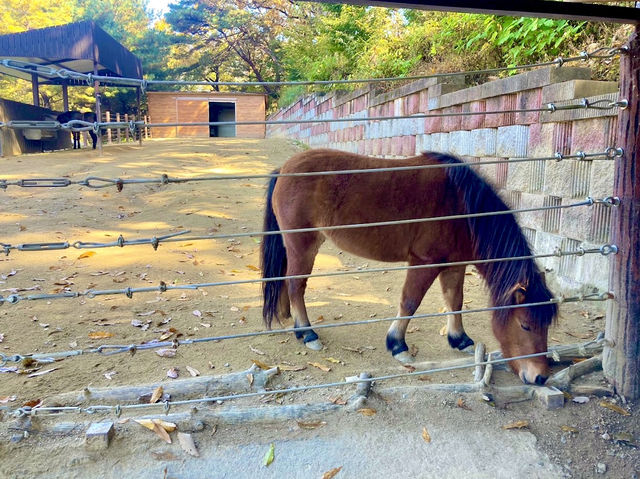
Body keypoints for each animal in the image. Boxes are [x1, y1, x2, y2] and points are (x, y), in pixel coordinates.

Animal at [260, 150, 556, 386]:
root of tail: (284, 169)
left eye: (547, 325)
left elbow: (455, 301)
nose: (540, 376)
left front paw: (459, 339)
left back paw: (289, 319)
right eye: (525, 325)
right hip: (303, 244)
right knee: (296, 283)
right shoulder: (424, 263)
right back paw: (307, 333)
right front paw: (397, 344)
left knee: (286, 280)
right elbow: (410, 302)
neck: (463, 208)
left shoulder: (454, 265)